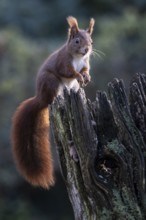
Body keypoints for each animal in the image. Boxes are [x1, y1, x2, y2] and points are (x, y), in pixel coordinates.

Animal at [11, 16, 94, 188]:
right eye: (77, 41)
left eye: (91, 41)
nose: (87, 50)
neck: (78, 58)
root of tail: (40, 98)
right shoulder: (63, 62)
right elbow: (68, 72)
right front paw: (78, 75)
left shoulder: (85, 63)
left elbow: (85, 70)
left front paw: (86, 76)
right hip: (52, 82)